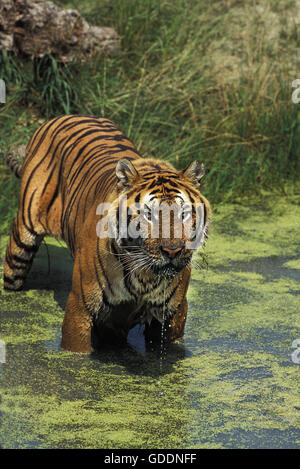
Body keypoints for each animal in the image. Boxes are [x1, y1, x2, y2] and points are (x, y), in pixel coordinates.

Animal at [2, 115, 211, 352]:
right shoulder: (80, 307)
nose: (173, 251)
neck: (144, 276)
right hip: (22, 243)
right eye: (149, 214)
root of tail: (62, 117)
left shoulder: (173, 313)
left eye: (183, 213)